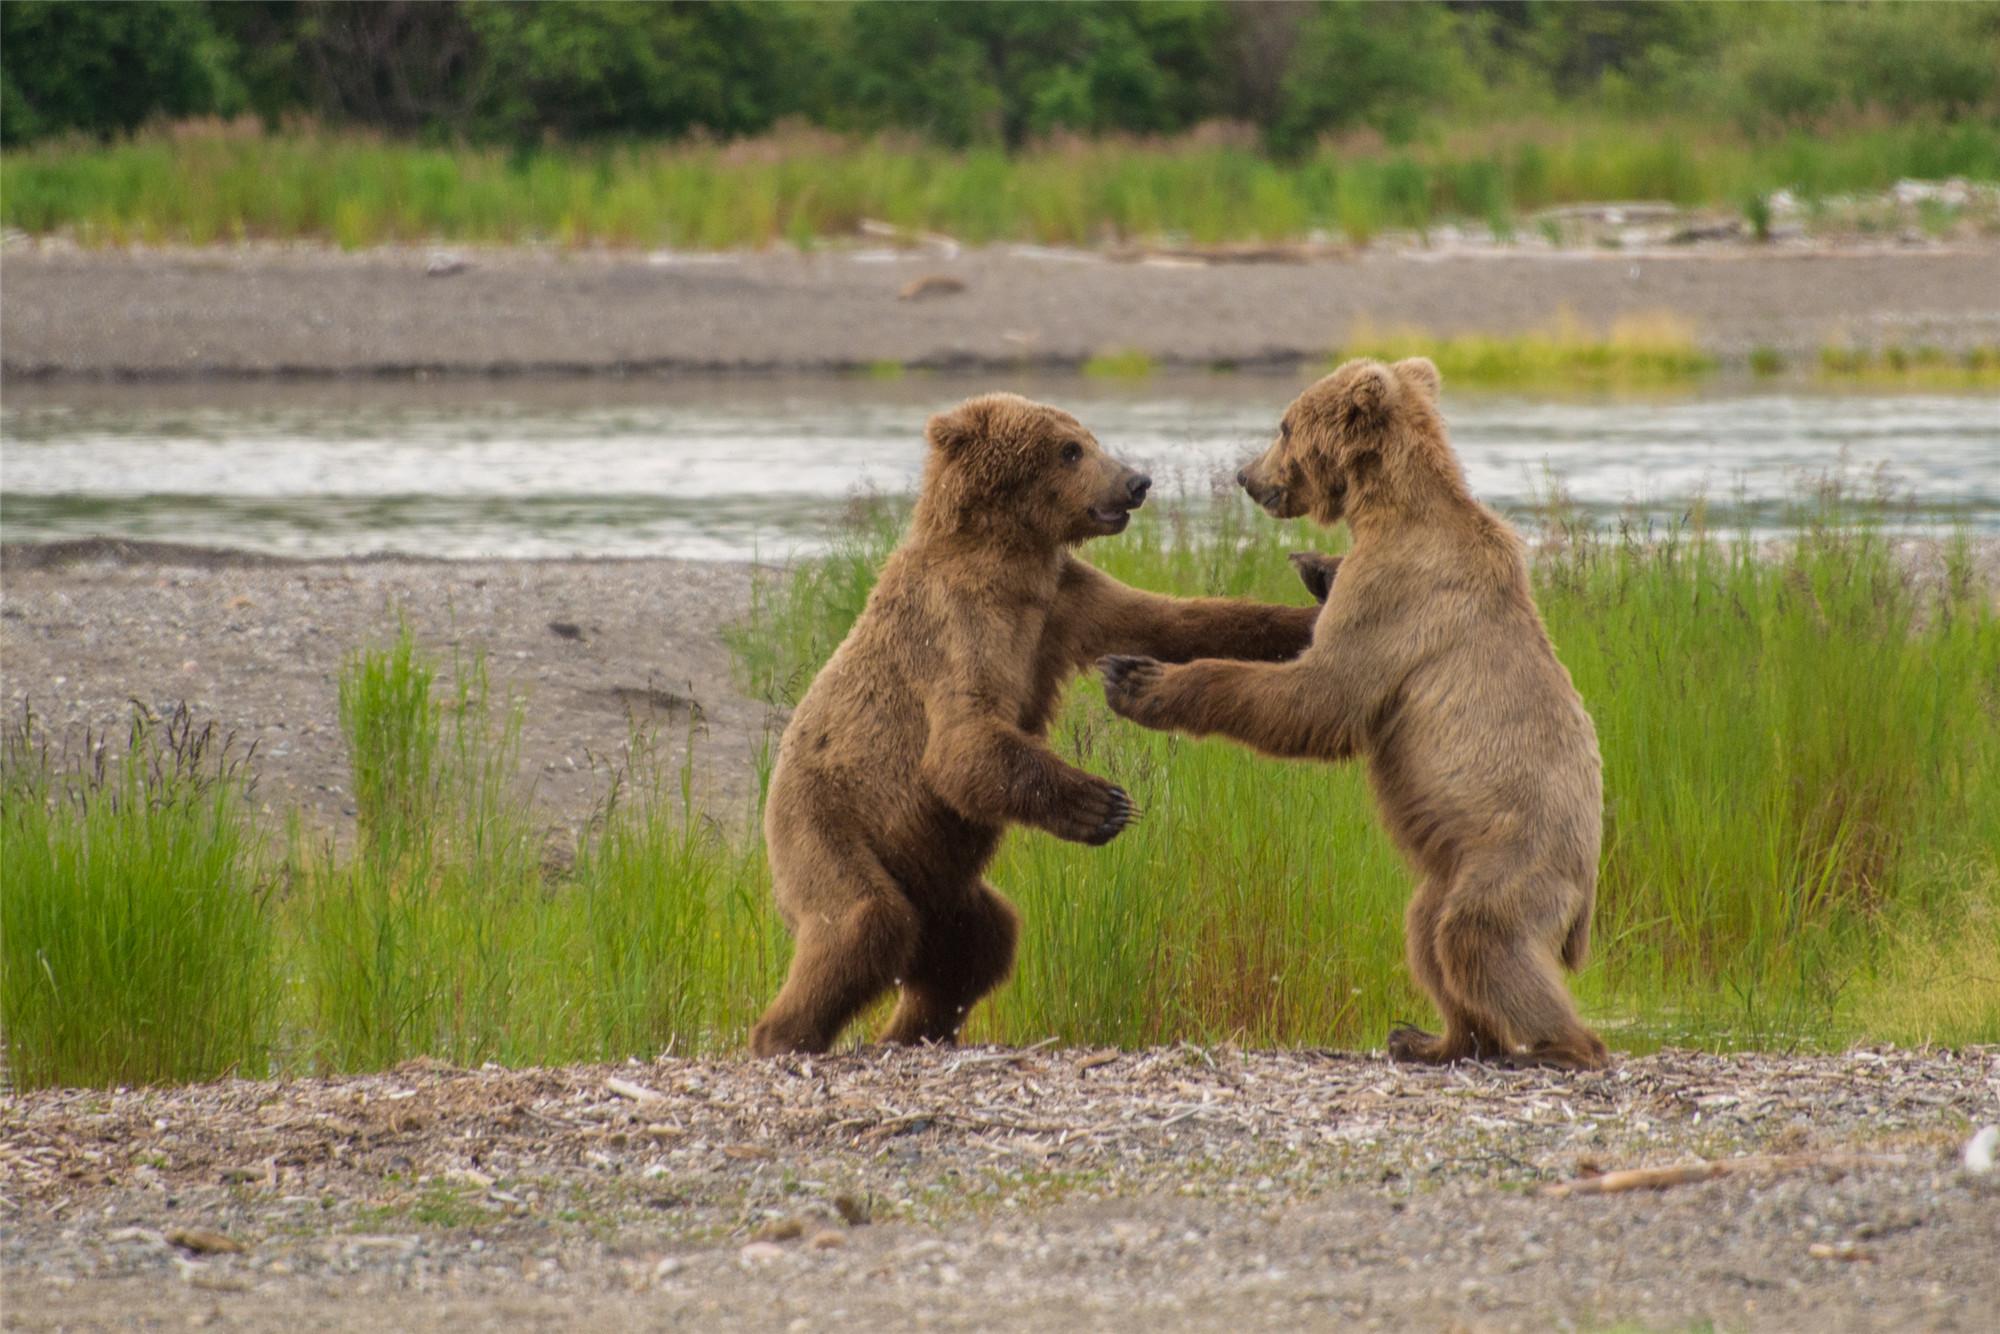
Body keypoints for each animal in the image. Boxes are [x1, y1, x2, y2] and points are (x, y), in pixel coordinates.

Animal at [752, 392, 1328, 1056]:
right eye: (1070, 450)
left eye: (1089, 438)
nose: (1137, 481)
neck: (1010, 560)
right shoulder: (956, 623)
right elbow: (962, 743)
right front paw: (1103, 804)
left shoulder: (1062, 600)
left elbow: (1177, 621)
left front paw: (1314, 599)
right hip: (826, 825)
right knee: (859, 922)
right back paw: (783, 1036)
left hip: (940, 880)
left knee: (977, 945)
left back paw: (913, 1030)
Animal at [1096, 358, 1608, 1072]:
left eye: (1283, 425)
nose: (1246, 476)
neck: (1384, 510)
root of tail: (1588, 893)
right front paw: (1314, 565)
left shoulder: (1397, 592)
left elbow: (1321, 695)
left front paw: (1138, 678)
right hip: (1452, 865)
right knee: (1427, 934)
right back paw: (1429, 1038)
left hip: (1515, 856)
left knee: (1480, 941)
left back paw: (1557, 1047)